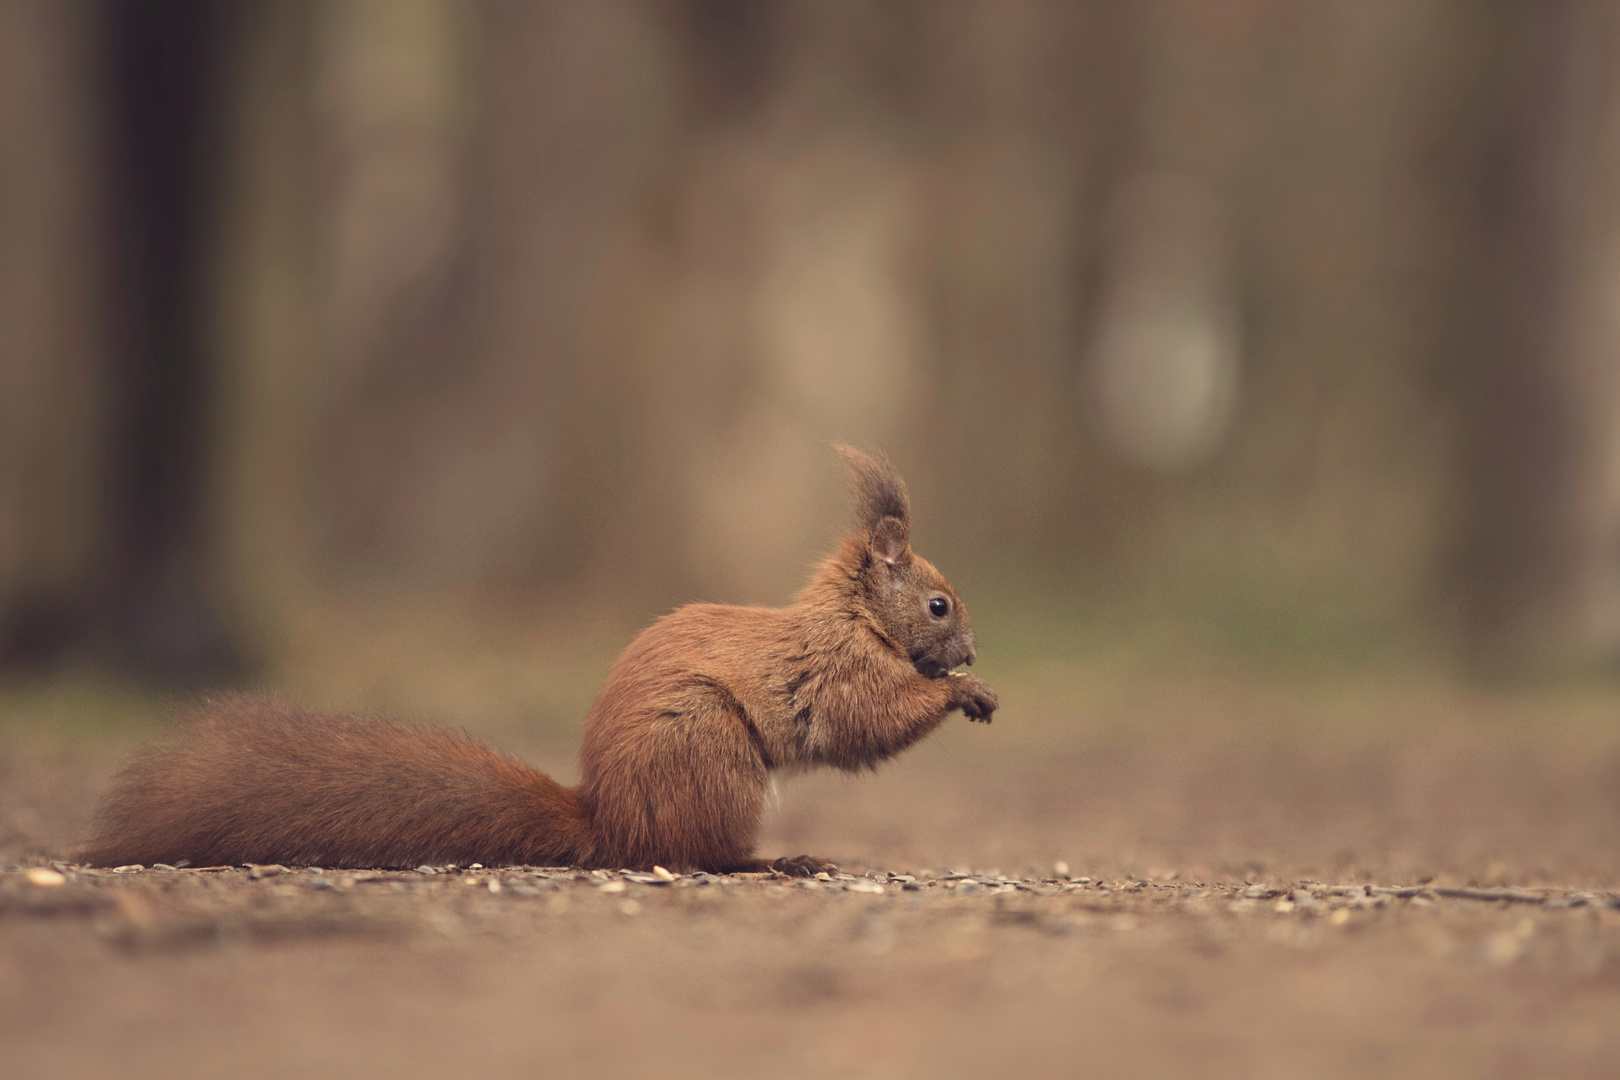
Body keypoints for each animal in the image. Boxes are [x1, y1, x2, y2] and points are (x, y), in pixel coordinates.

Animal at [85, 446, 997, 880]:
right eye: (939, 605)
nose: (971, 651)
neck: (856, 618)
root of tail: (612, 824)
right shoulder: (837, 671)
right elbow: (865, 721)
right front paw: (962, 693)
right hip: (709, 750)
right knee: (701, 857)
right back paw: (777, 862)